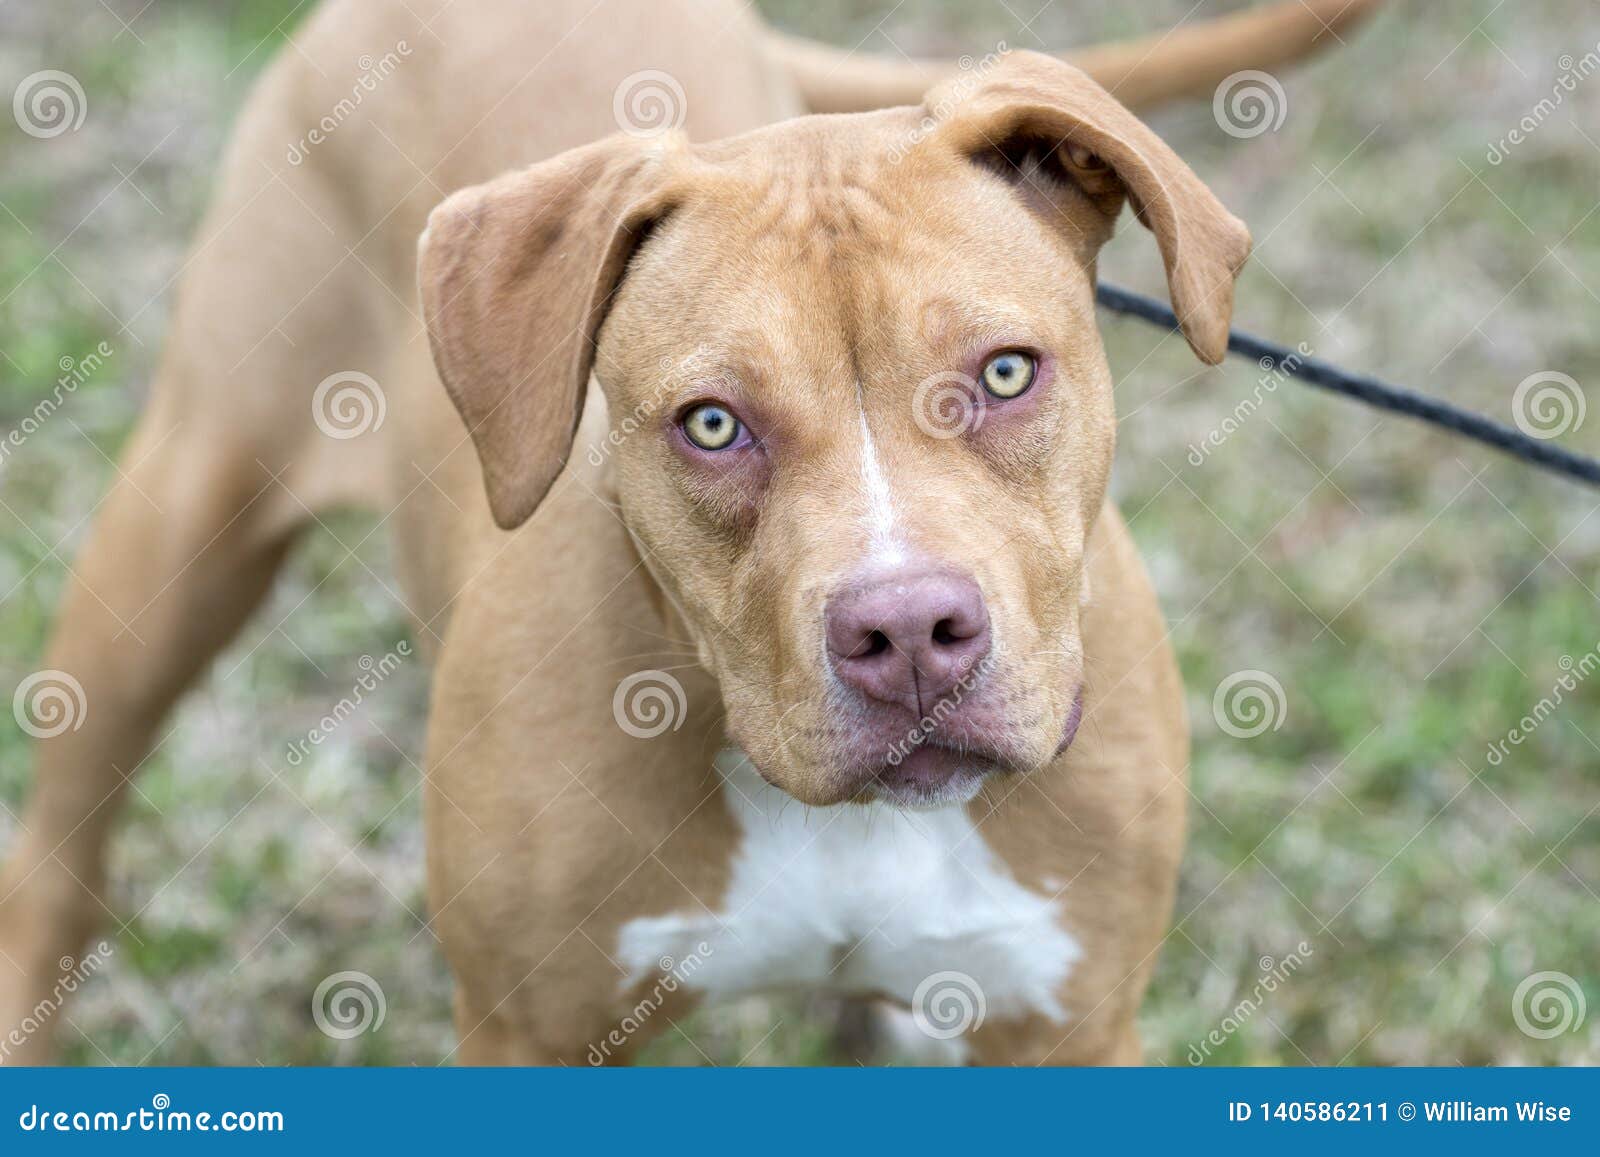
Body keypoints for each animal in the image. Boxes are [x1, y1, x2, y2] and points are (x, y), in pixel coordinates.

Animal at [0, 0, 1376, 1068]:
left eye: (1002, 372)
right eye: (712, 423)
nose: (907, 632)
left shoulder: (1067, 1026)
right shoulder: (525, 1031)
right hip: (179, 520)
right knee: (60, 858)